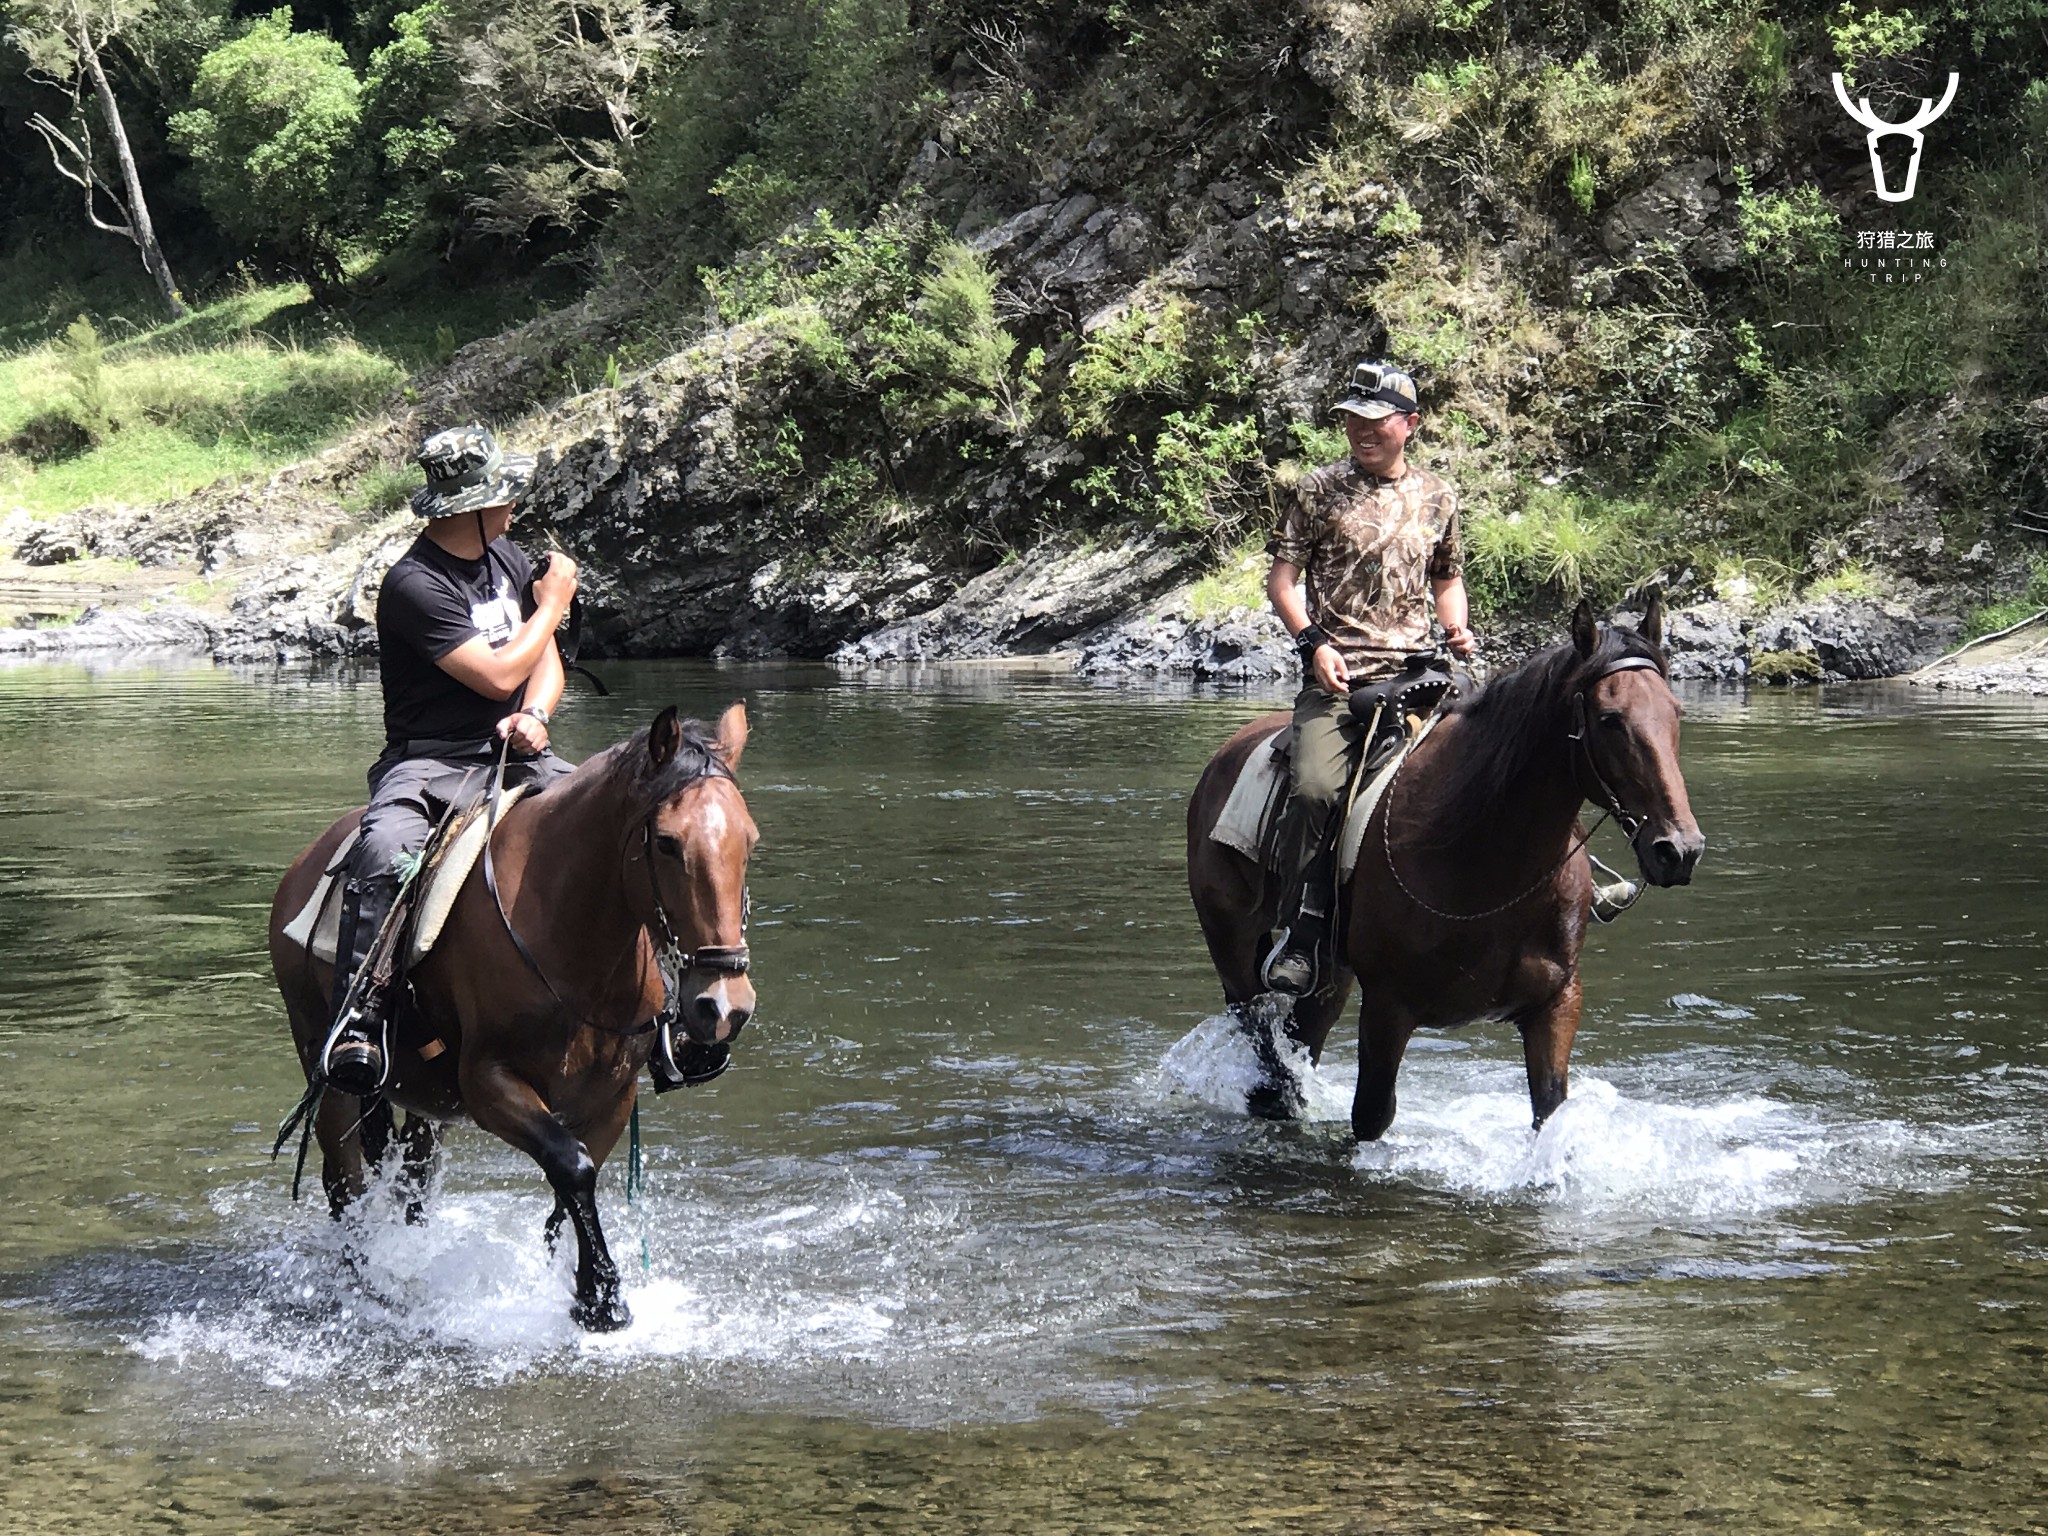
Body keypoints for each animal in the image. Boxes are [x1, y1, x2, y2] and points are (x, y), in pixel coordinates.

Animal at [268, 704, 757, 1327]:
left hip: (425, 1100)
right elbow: (572, 1166)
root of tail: (305, 866)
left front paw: (570, 1282)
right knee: (344, 1181)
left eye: (749, 840)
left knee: (414, 1179)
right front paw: (602, 1299)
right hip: (326, 1067)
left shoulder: (614, 1093)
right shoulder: (489, 1085)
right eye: (668, 844)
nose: (725, 1006)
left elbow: (569, 1188)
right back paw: (370, 1281)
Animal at [1187, 602, 1695, 1146]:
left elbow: (1549, 1111)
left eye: (1675, 713)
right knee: (1262, 1040)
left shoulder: (1558, 1004)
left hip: (1329, 976)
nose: (1679, 850)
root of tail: (1227, 755)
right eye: (1609, 719)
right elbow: (1371, 1115)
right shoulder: (1388, 1007)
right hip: (1234, 950)